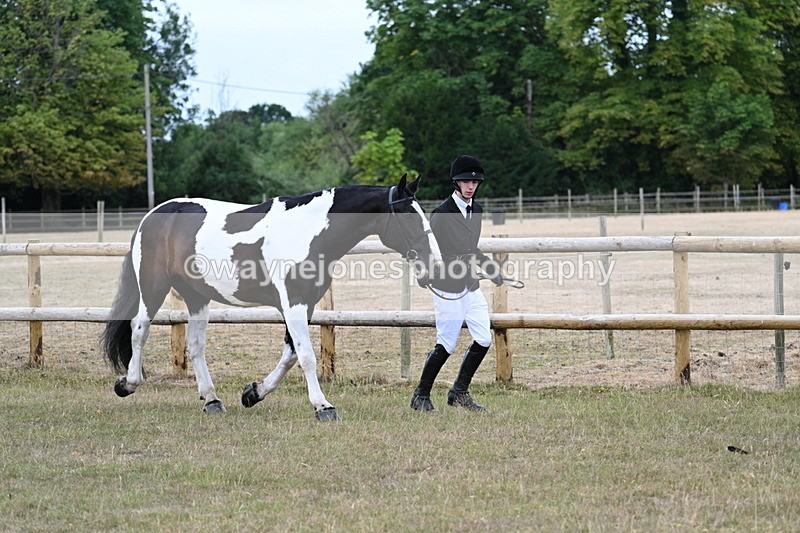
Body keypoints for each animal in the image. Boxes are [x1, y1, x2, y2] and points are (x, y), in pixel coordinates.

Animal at [100, 174, 441, 421]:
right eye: (409, 217)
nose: (434, 265)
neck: (306, 231)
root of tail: (153, 216)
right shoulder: (293, 304)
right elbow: (306, 356)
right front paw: (323, 407)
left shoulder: (305, 305)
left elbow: (290, 354)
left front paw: (253, 393)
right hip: (153, 287)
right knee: (139, 330)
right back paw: (127, 384)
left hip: (197, 297)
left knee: (195, 346)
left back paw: (212, 400)